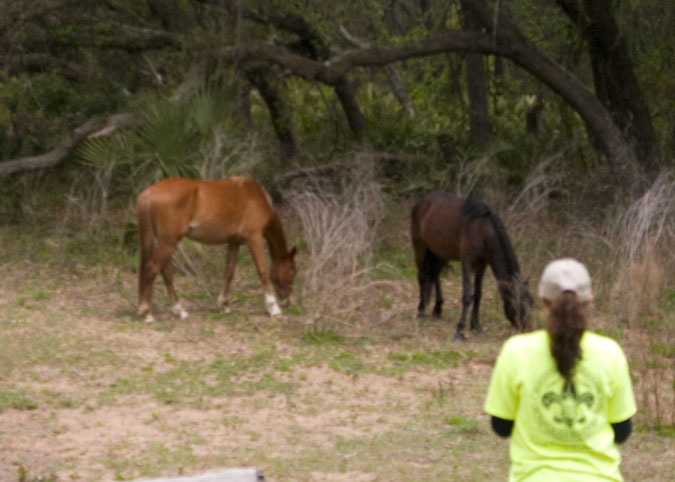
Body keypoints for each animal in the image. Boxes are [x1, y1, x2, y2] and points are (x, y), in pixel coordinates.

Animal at [136, 175, 298, 322]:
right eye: (292, 271)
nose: (289, 301)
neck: (254, 197)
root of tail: (149, 192)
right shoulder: (254, 238)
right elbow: (262, 271)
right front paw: (273, 308)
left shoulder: (234, 242)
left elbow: (229, 273)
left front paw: (224, 305)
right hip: (169, 241)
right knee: (152, 269)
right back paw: (147, 313)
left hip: (166, 242)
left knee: (165, 272)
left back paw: (180, 311)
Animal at [412, 190, 532, 340]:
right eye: (518, 305)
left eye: (531, 304)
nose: (528, 330)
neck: (483, 231)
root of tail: (421, 201)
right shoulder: (467, 263)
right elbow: (468, 295)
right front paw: (459, 331)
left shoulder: (482, 265)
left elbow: (478, 294)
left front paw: (476, 326)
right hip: (420, 247)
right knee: (422, 276)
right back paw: (421, 311)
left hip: (439, 251)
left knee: (435, 274)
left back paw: (437, 309)